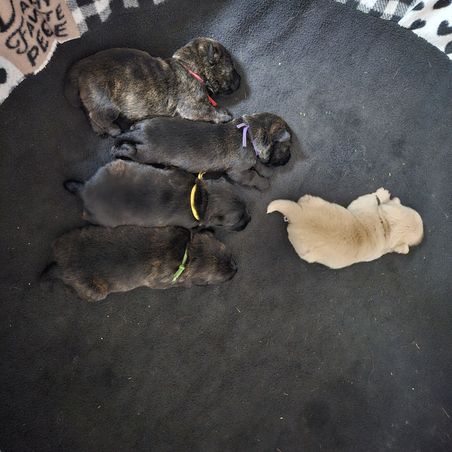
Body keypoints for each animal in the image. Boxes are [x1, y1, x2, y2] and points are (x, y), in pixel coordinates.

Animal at [44, 226, 237, 302]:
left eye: (230, 255)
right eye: (224, 278)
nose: (237, 267)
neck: (188, 254)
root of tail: (62, 266)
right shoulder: (163, 282)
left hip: (71, 236)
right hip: (95, 292)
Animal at [64, 37, 241, 136]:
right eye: (232, 68)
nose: (240, 80)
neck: (189, 68)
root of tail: (81, 68)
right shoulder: (191, 107)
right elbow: (209, 111)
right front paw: (223, 116)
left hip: (94, 100)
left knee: (90, 114)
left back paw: (100, 130)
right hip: (107, 106)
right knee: (97, 116)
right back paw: (113, 129)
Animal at [64, 160, 250, 231]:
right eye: (237, 220)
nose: (250, 220)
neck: (202, 198)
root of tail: (86, 190)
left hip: (114, 166)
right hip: (104, 220)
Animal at [111, 113, 292, 190]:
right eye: (288, 146)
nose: (289, 159)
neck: (248, 133)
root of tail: (140, 132)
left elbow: (258, 164)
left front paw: (266, 171)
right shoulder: (238, 172)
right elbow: (253, 175)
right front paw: (263, 183)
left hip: (141, 125)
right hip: (145, 154)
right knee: (131, 150)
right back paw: (118, 149)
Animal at [267, 188, 423, 269]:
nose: (422, 238)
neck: (385, 225)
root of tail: (298, 215)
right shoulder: (365, 205)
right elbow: (371, 197)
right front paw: (383, 194)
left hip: (312, 201)